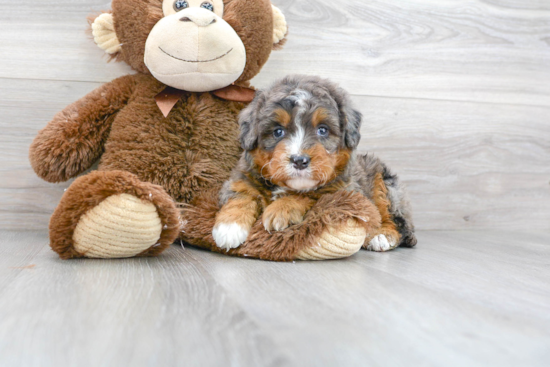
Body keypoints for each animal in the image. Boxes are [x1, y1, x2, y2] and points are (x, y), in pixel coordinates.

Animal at [212, 75, 418, 253]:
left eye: (322, 130)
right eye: (278, 131)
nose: (299, 161)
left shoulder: (343, 190)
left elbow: (310, 194)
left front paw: (280, 210)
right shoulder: (241, 179)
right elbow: (241, 196)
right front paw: (229, 228)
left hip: (384, 185)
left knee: (395, 221)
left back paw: (381, 236)